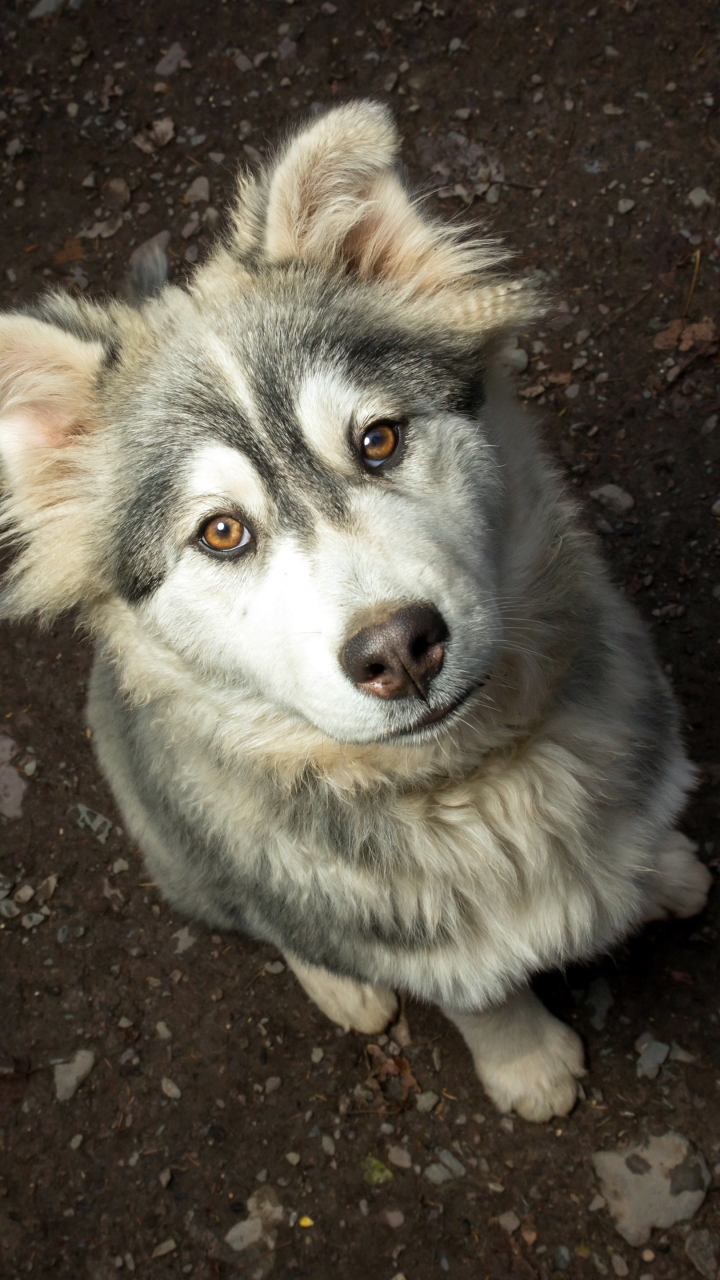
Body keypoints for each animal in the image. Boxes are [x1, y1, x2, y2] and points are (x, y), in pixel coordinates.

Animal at [0, 102, 707, 1121]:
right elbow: (482, 995)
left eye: (379, 440)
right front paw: (529, 1065)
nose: (400, 651)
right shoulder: (423, 941)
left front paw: (663, 867)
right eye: (221, 532)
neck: (478, 782)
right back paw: (343, 986)